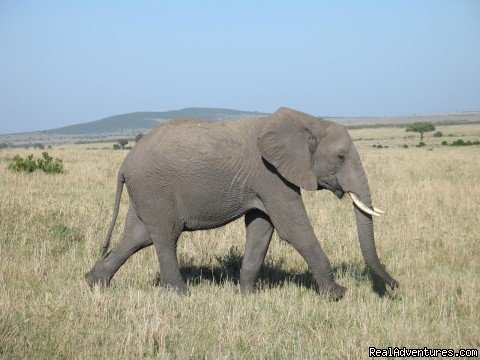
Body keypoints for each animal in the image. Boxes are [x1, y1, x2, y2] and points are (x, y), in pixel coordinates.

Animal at [85, 108, 398, 300]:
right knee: (164, 237)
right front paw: (337, 294)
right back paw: (181, 295)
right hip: (154, 189)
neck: (308, 121)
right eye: (341, 157)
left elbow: (261, 228)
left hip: (145, 193)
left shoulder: (265, 181)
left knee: (138, 236)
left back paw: (94, 283)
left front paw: (247, 295)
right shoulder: (271, 175)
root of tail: (124, 164)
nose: (395, 286)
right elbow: (294, 230)